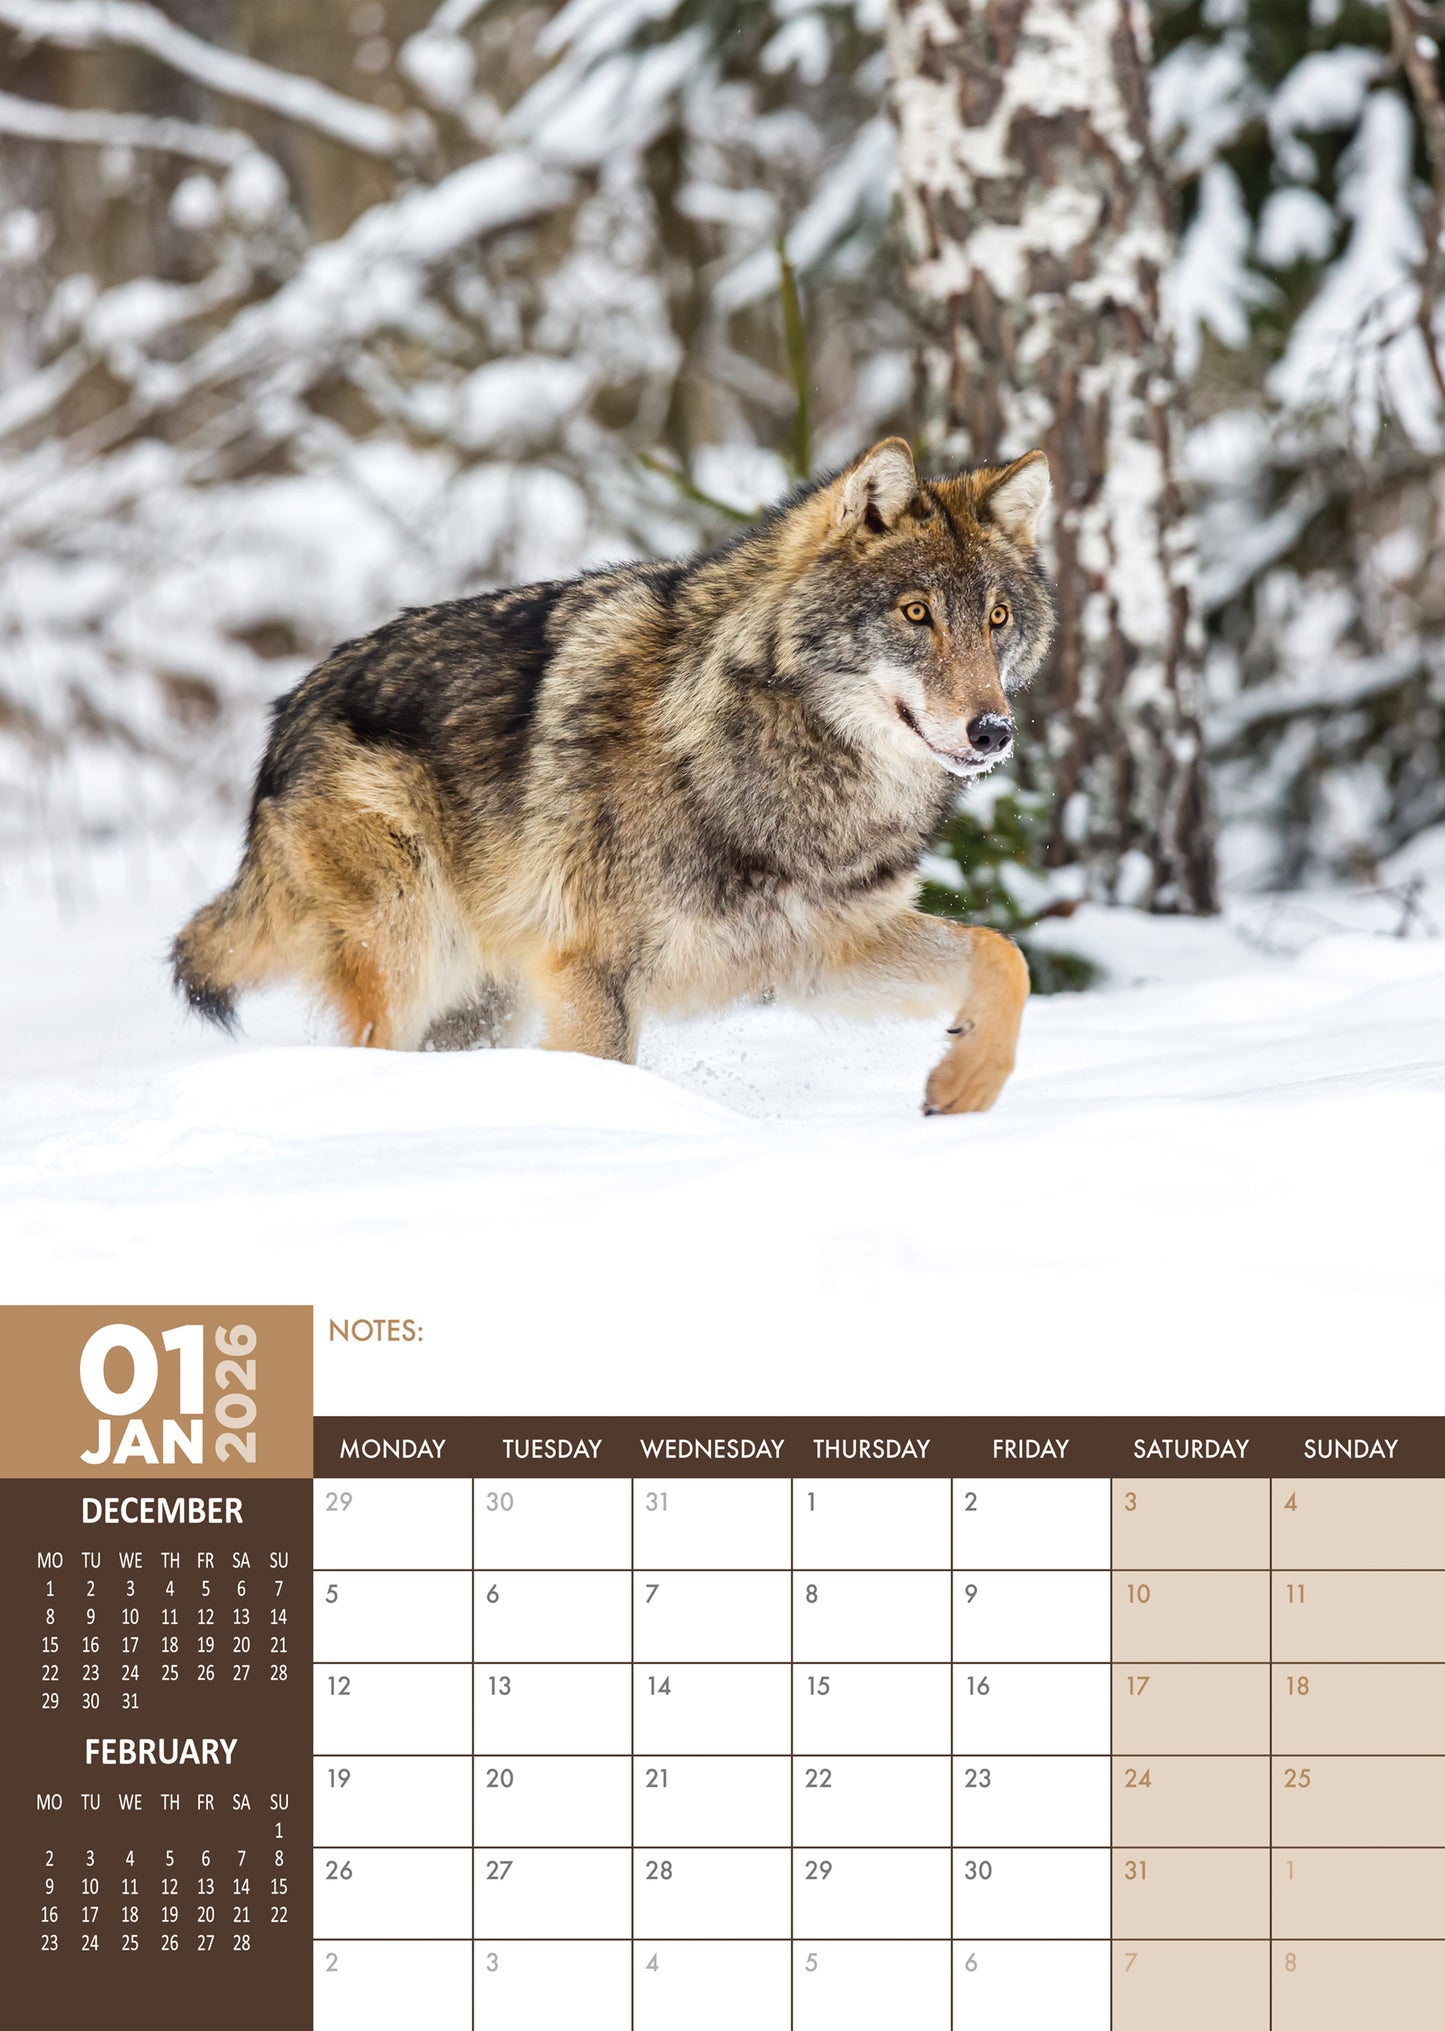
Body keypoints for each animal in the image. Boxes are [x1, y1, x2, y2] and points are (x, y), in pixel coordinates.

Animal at [172, 438, 1054, 1112]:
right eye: (915, 613)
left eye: (996, 618)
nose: (991, 731)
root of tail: (287, 712)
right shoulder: (593, 972)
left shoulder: (822, 954)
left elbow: (1003, 953)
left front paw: (968, 1082)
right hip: (409, 952)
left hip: (481, 999)